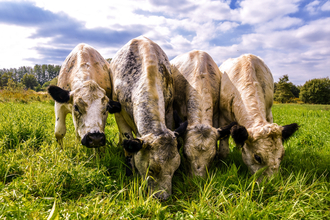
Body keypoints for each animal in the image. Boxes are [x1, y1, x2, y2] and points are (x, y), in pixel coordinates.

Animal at [110, 36, 187, 201]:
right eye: (151, 169)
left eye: (175, 169)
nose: (163, 197)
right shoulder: (119, 116)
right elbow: (127, 145)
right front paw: (130, 173)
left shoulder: (169, 111)